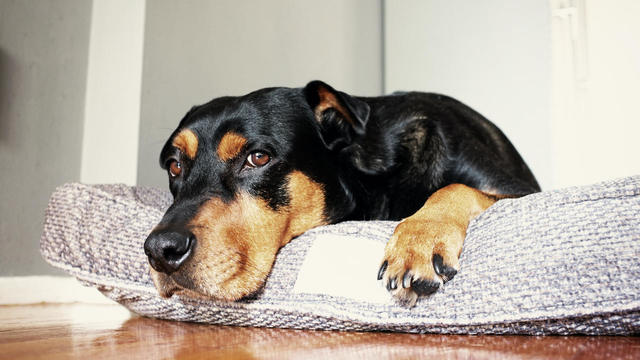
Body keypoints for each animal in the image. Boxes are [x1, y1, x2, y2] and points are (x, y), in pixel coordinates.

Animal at [144, 81, 540, 306]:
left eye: (258, 157)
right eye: (174, 166)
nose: (160, 250)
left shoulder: (522, 192)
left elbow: (455, 187)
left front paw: (418, 242)